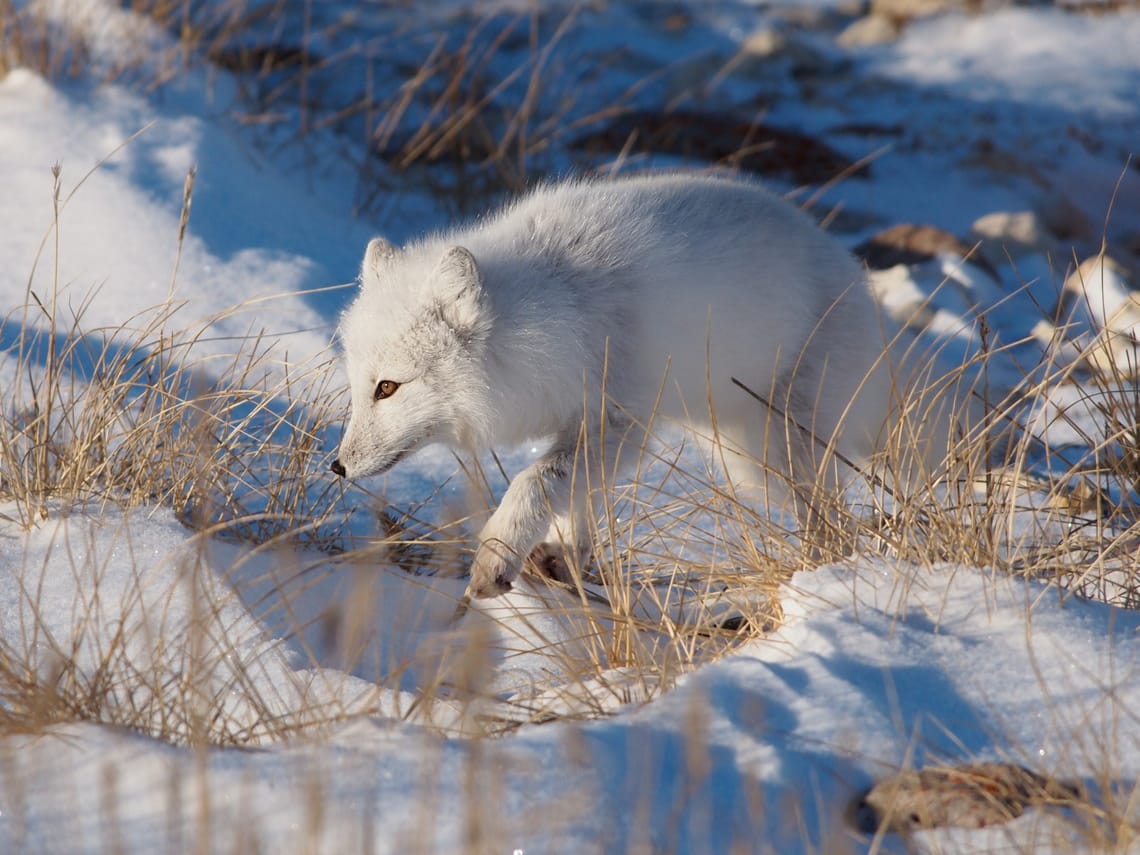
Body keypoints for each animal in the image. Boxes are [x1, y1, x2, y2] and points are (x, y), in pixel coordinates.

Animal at [332, 173, 893, 597]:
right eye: (359, 387)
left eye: (388, 388)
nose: (337, 467)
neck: (560, 306)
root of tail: (860, 287)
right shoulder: (579, 423)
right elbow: (576, 498)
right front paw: (563, 561)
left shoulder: (621, 422)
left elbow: (535, 480)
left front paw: (496, 558)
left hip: (772, 457)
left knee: (835, 526)